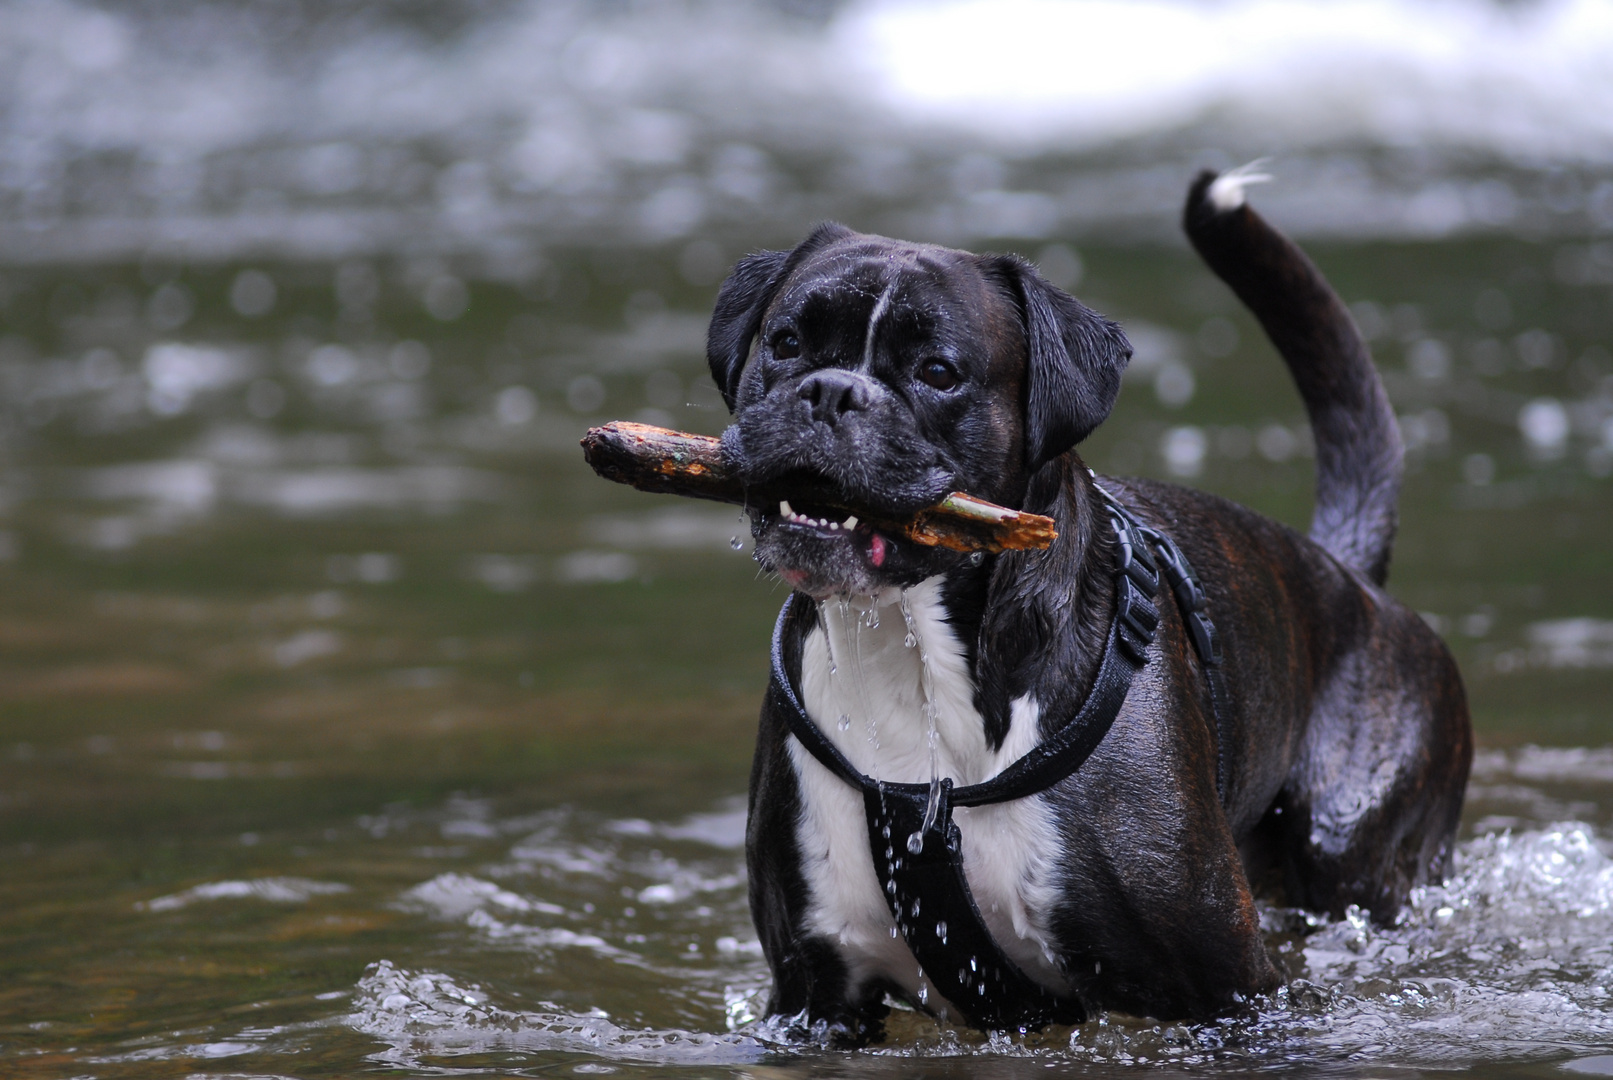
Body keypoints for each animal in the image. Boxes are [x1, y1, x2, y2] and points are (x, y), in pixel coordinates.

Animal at [700, 171, 1471, 1038]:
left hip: (1353, 856)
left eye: (938, 371)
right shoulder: (816, 998)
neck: (910, 652)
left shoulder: (1233, 992)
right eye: (786, 342)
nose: (831, 390)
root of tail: (1349, 577)